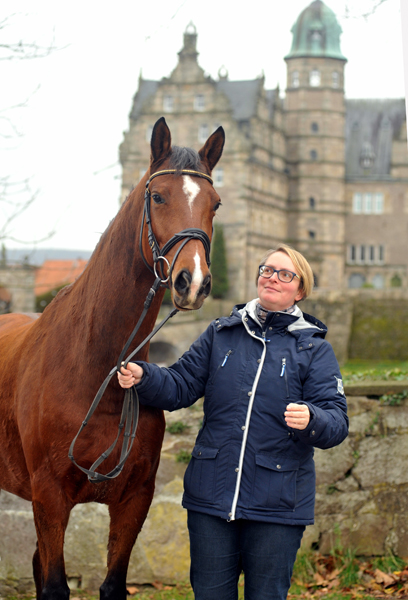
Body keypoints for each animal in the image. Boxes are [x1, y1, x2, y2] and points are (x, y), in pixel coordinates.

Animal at [0, 117, 223, 600]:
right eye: (158, 197)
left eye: (215, 204)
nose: (193, 282)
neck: (93, 368)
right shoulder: (49, 499)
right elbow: (54, 586)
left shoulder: (134, 499)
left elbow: (111, 584)